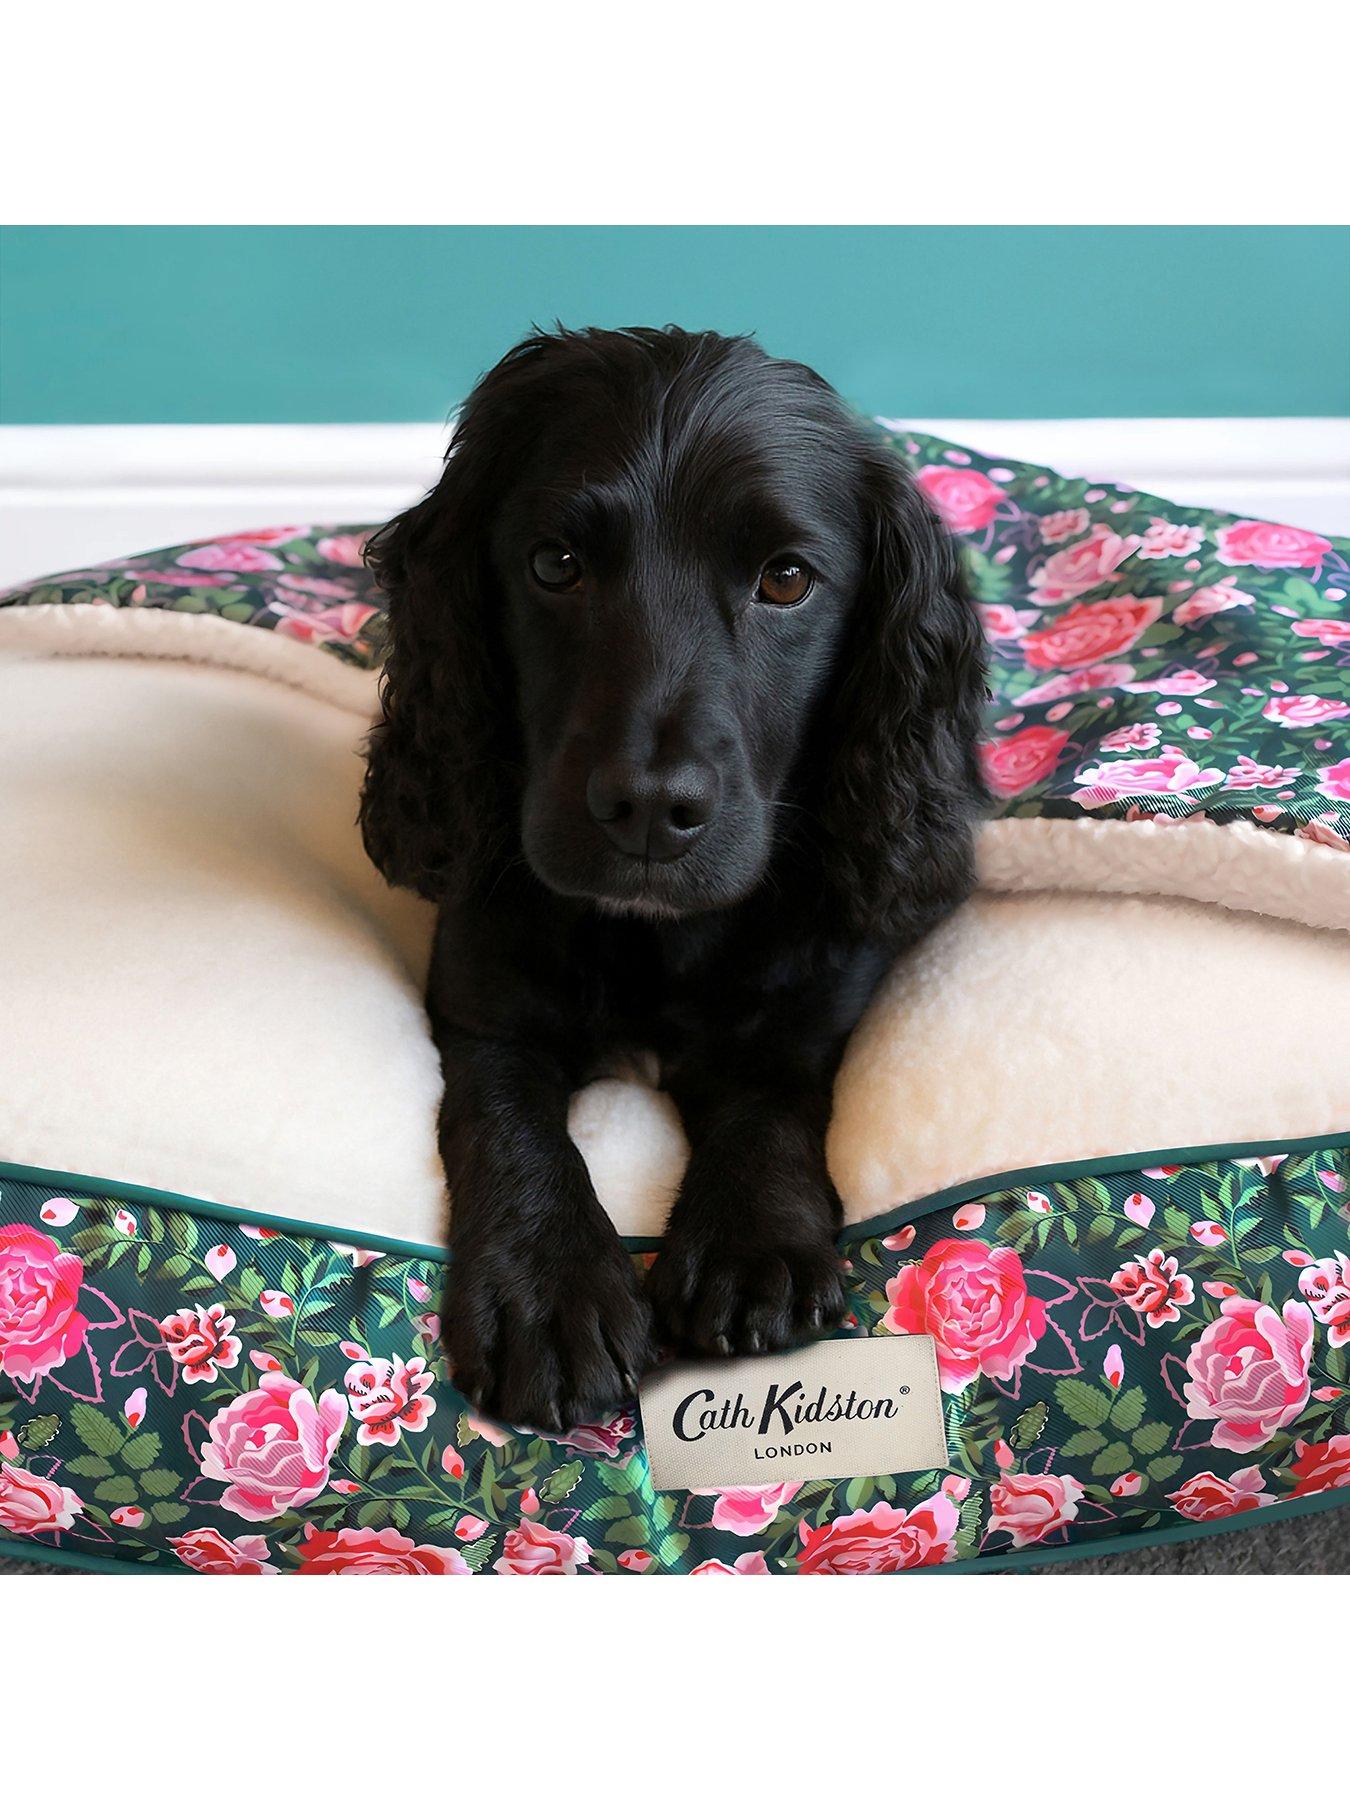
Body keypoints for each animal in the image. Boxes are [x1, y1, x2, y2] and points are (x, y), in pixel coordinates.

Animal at [359, 325, 986, 1430]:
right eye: (555, 564)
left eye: (785, 580)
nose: (650, 808)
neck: (657, 938)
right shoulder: (483, 1009)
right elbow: (504, 1117)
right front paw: (546, 1287)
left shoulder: (809, 1010)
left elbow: (774, 1100)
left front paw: (751, 1243)